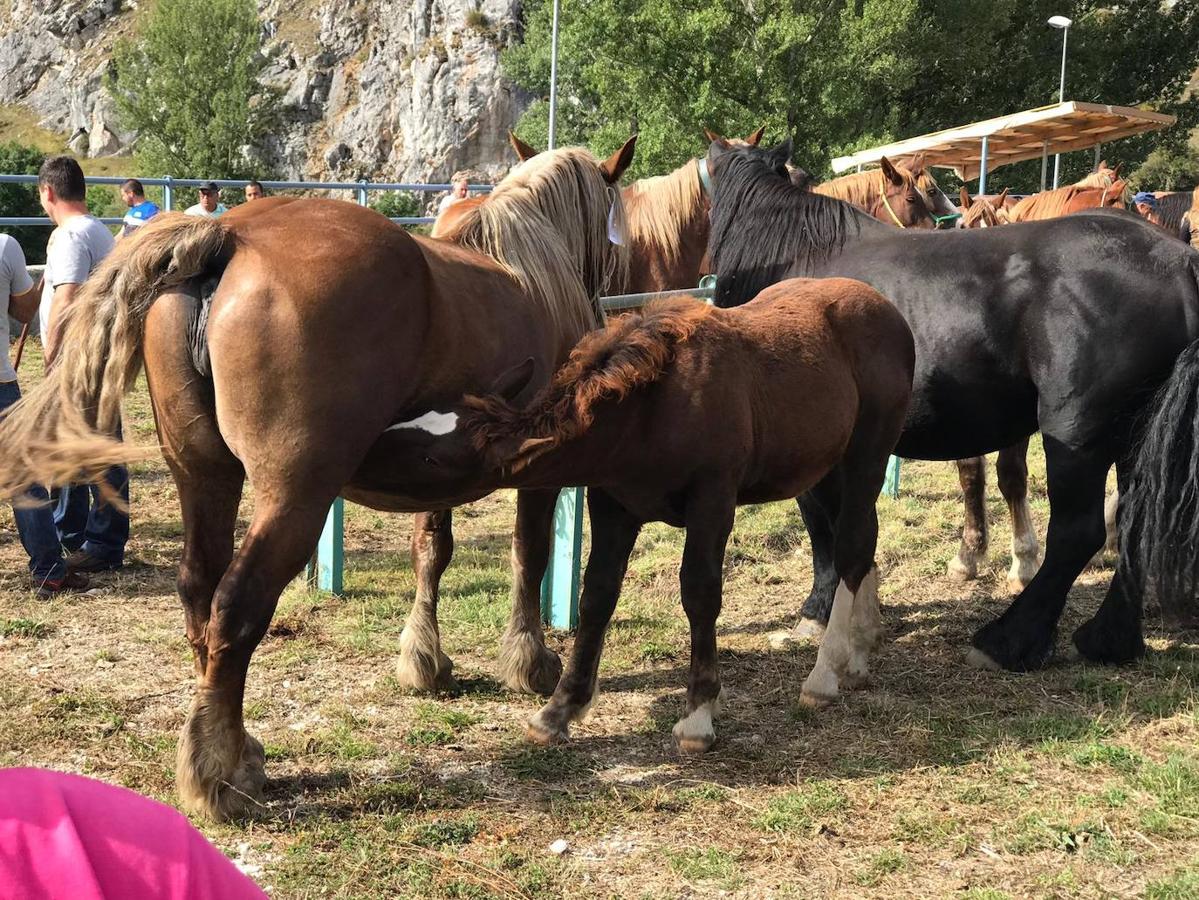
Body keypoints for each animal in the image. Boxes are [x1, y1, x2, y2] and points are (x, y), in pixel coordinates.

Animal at [0, 142, 637, 824]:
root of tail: (227, 235)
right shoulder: (537, 476)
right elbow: (529, 555)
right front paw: (529, 661)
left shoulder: (440, 470)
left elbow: (431, 552)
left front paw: (425, 661)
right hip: (294, 499)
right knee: (236, 604)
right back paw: (218, 771)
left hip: (204, 479)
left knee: (200, 593)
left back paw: (233, 744)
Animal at [369, 278, 911, 747]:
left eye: (434, 459)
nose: (363, 451)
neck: (652, 410)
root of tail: (886, 307)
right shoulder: (614, 506)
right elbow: (597, 595)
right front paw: (559, 710)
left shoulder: (713, 501)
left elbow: (699, 594)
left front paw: (698, 715)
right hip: (824, 470)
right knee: (862, 541)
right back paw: (859, 652)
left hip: (866, 456)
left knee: (851, 547)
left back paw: (825, 672)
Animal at [705, 139, 1199, 675]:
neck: (797, 261)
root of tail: (1177, 260)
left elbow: (825, 530)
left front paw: (818, 614)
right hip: (1136, 437)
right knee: (1135, 522)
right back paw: (1108, 640)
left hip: (1077, 432)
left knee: (1076, 532)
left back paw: (1007, 641)